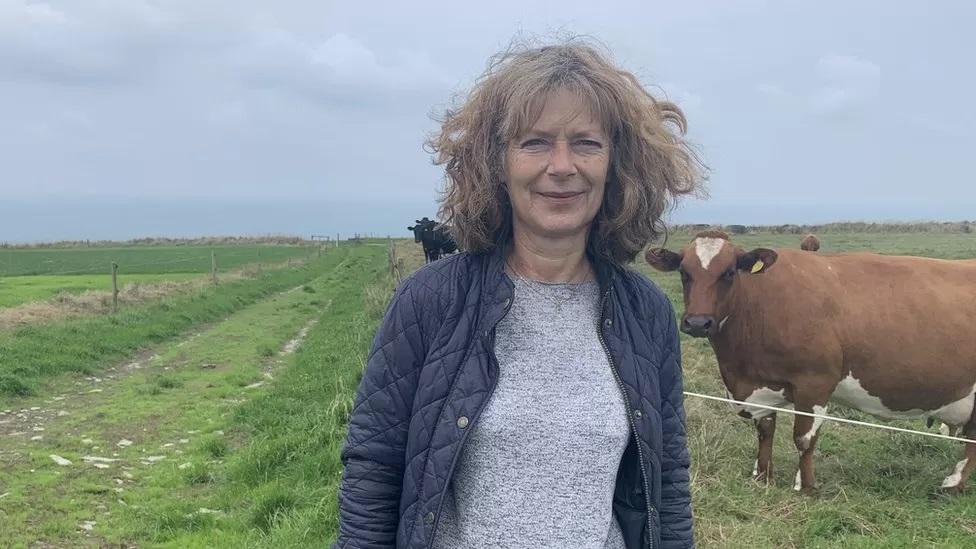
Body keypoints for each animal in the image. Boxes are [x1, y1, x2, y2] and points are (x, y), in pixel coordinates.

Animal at [648, 229, 976, 494]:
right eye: (684, 272)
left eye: (729, 272)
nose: (697, 323)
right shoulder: (762, 386)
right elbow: (765, 431)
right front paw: (762, 476)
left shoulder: (815, 381)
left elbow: (804, 438)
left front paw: (805, 486)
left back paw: (952, 484)